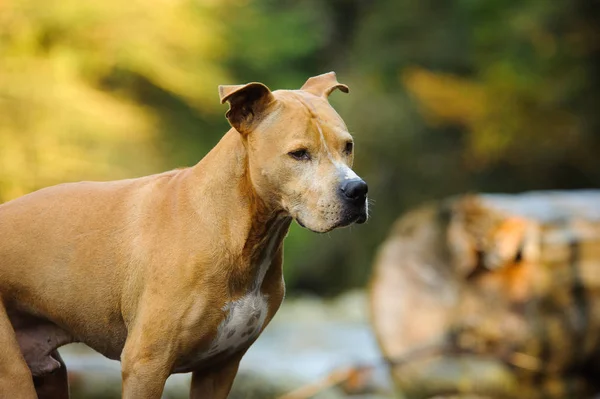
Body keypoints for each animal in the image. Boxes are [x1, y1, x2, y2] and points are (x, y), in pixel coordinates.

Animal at [0, 72, 366, 399]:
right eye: (299, 153)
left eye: (348, 146)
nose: (357, 190)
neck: (235, 232)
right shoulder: (145, 365)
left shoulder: (220, 368)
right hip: (14, 373)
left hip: (51, 375)